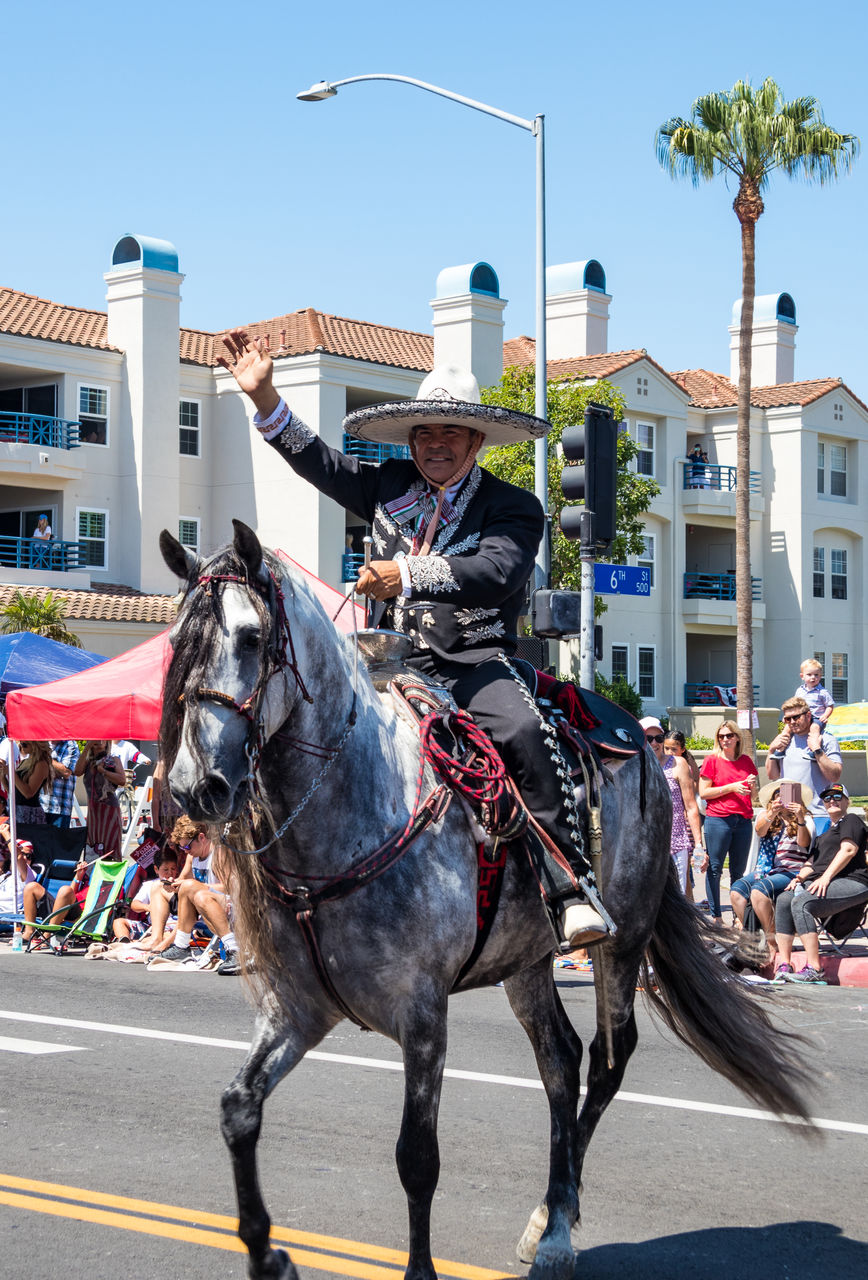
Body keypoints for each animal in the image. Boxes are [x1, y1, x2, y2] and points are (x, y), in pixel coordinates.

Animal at [160, 519, 814, 1280]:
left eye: (249, 637)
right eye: (177, 641)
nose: (195, 786)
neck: (355, 804)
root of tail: (634, 737)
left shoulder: (422, 1016)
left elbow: (417, 1158)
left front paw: (418, 1269)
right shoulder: (297, 1010)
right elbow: (238, 1109)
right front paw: (269, 1256)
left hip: (623, 941)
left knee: (607, 1058)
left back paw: (557, 1228)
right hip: (525, 959)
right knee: (560, 1061)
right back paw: (547, 1215)